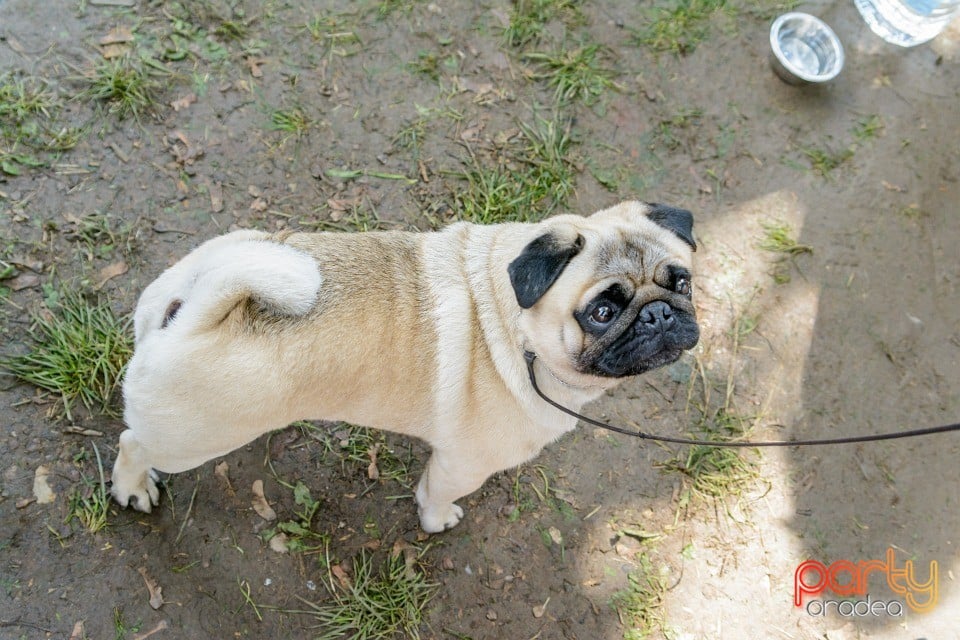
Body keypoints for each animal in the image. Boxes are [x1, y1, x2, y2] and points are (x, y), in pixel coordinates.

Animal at [110, 202, 696, 532]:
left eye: (683, 283)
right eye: (601, 313)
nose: (659, 314)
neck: (515, 327)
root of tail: (189, 302)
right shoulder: (462, 464)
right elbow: (435, 495)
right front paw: (437, 522)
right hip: (192, 438)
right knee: (132, 443)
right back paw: (132, 488)